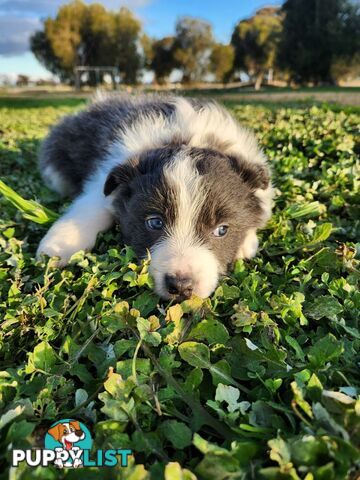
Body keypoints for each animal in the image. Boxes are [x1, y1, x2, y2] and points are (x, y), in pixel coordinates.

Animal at [37, 93, 272, 300]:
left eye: (222, 230)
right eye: (155, 223)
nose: (181, 286)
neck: (186, 138)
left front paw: (246, 241)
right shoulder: (105, 177)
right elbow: (91, 207)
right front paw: (57, 248)